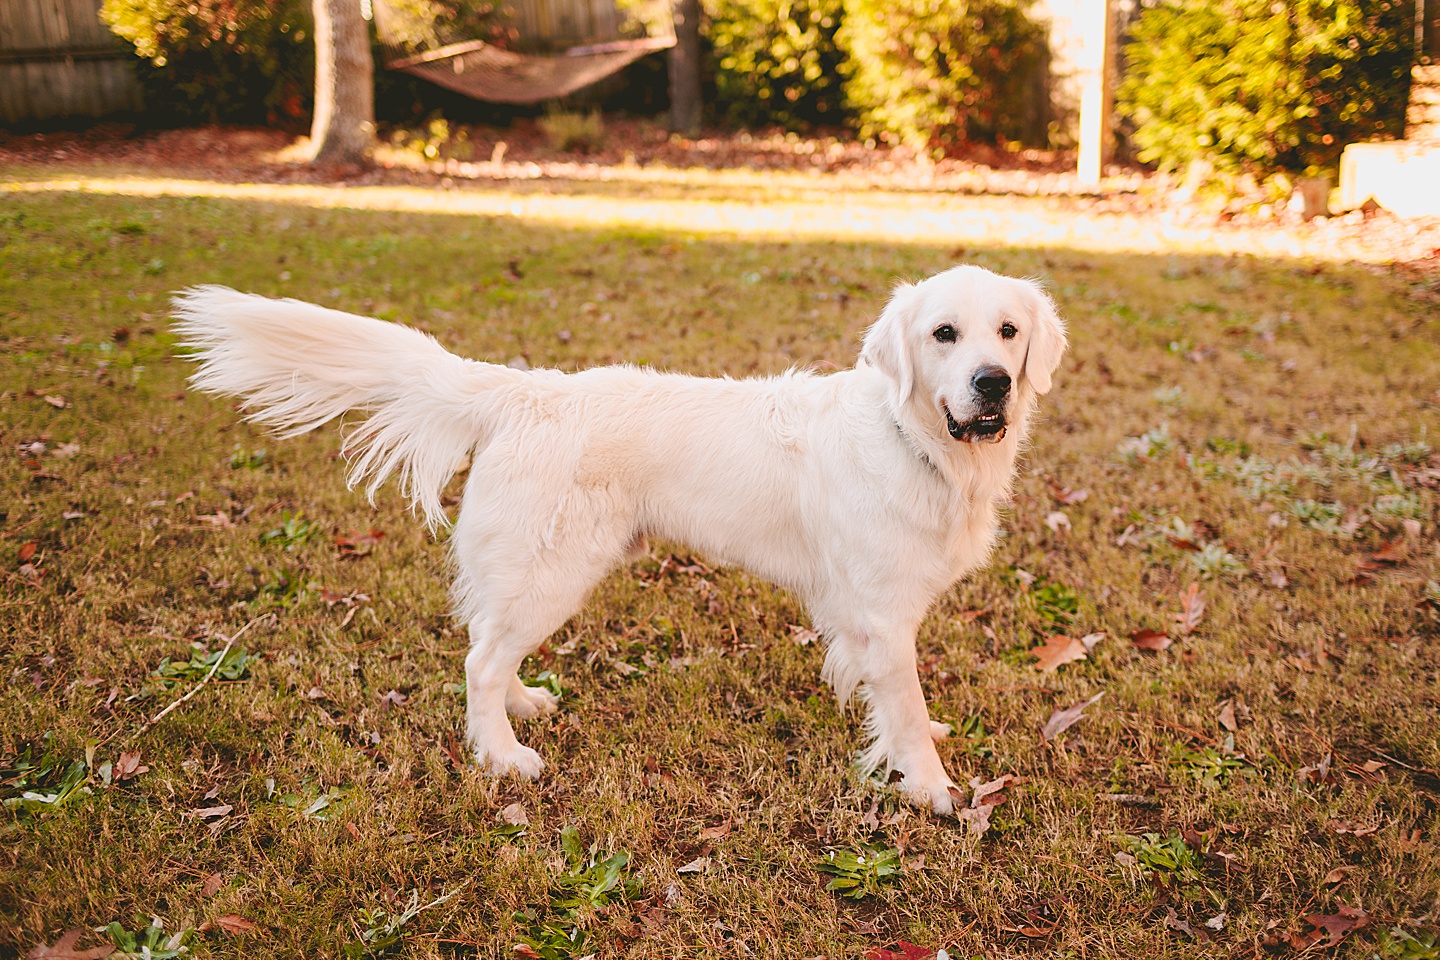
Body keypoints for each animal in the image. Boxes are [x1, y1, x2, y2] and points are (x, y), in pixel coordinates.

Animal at [174, 266, 1065, 817]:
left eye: (1007, 332)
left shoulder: (870, 620)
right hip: (555, 569)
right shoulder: (882, 614)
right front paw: (933, 789)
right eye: (944, 334)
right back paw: (502, 755)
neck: (918, 441)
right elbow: (905, 704)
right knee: (476, 661)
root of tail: (523, 390)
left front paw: (913, 749)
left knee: (490, 645)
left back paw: (521, 705)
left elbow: (896, 700)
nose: (993, 383)